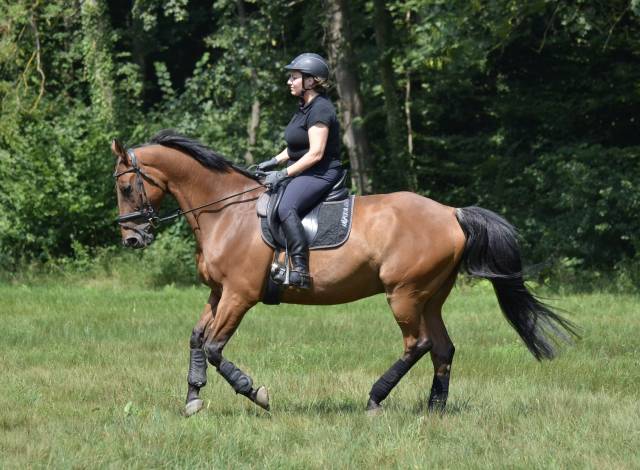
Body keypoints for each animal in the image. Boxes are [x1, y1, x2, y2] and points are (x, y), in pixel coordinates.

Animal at [112, 130, 576, 416]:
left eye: (125, 186)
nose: (132, 239)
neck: (226, 212)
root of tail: (451, 213)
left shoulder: (240, 294)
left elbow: (213, 346)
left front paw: (256, 393)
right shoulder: (218, 292)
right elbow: (196, 338)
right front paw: (193, 398)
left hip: (403, 293)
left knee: (418, 344)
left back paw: (374, 399)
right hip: (431, 296)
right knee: (442, 348)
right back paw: (435, 409)